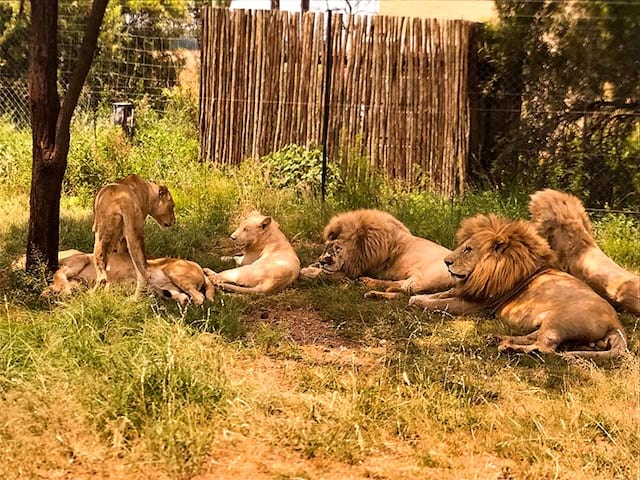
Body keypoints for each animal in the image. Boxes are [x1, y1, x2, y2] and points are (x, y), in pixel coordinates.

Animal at [300, 209, 456, 298]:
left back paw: (371, 287)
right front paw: (313, 266)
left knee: (404, 291)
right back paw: (370, 287)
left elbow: (325, 274)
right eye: (326, 247)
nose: (323, 261)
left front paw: (308, 271)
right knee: (400, 290)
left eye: (337, 248)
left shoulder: (352, 271)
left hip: (424, 277)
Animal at [408, 215, 628, 360]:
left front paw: (416, 300)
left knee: (545, 347)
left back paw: (509, 348)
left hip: (560, 321)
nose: (446, 262)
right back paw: (496, 338)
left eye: (468, 249)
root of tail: (616, 324)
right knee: (533, 337)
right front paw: (421, 296)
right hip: (551, 323)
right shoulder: (465, 291)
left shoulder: (477, 306)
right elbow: (440, 295)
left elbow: (441, 304)